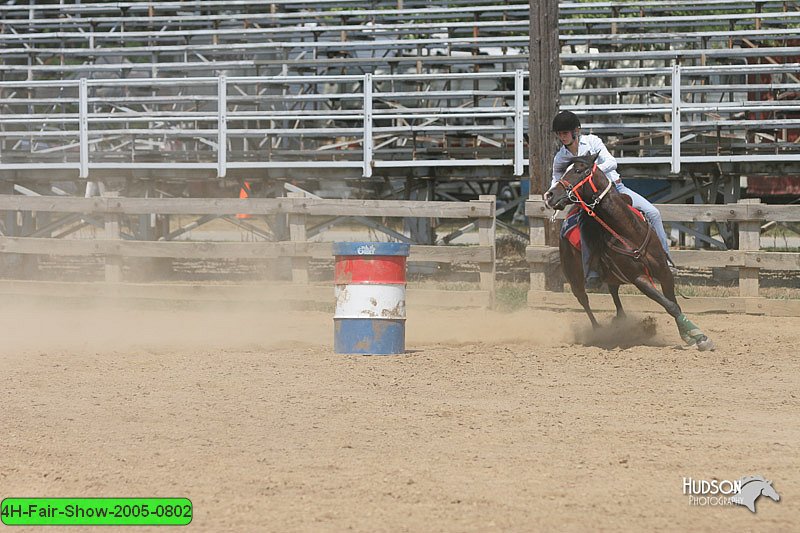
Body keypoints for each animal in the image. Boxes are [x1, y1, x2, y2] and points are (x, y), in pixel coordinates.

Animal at [540, 152, 716, 352]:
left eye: (578, 170)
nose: (549, 195)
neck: (629, 232)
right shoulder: (638, 278)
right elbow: (670, 305)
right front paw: (700, 337)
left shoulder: (663, 271)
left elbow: (673, 303)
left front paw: (691, 335)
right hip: (574, 278)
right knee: (584, 301)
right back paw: (598, 330)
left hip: (613, 276)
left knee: (614, 293)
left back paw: (620, 321)